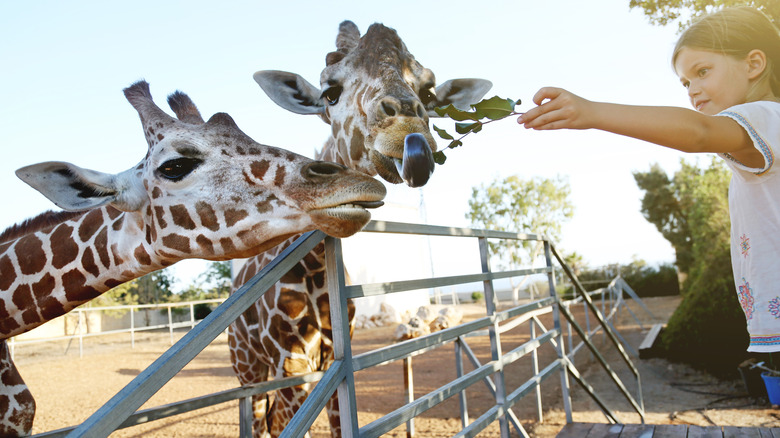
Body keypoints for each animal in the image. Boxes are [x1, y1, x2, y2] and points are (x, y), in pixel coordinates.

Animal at [229, 21, 490, 438]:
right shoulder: (292, 362)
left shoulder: (337, 360)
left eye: (429, 93)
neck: (317, 271)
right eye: (329, 93)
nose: (408, 131)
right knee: (258, 420)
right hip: (247, 368)